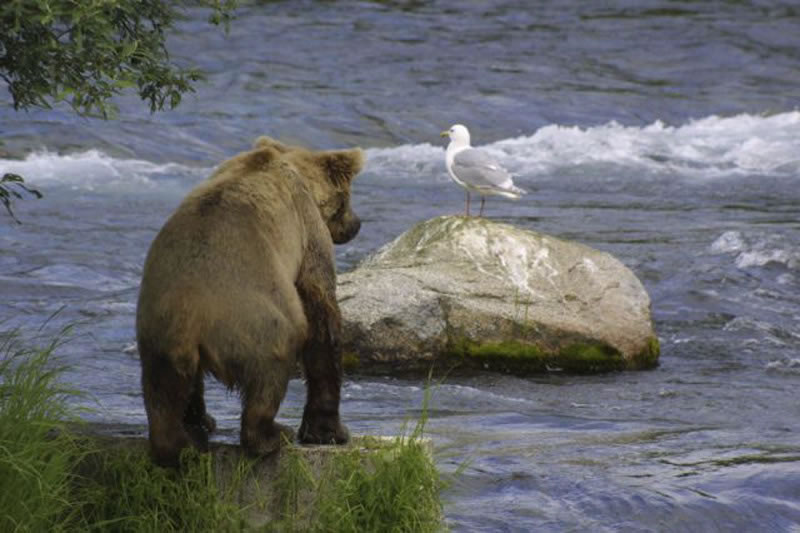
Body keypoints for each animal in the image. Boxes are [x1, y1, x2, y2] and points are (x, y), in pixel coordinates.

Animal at [137, 134, 362, 466]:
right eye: (348, 199)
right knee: (273, 368)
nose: (357, 224)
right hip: (255, 322)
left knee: (164, 391)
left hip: (158, 333)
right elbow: (321, 313)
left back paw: (186, 438)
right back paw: (271, 434)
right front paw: (331, 431)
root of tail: (191, 318)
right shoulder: (308, 230)